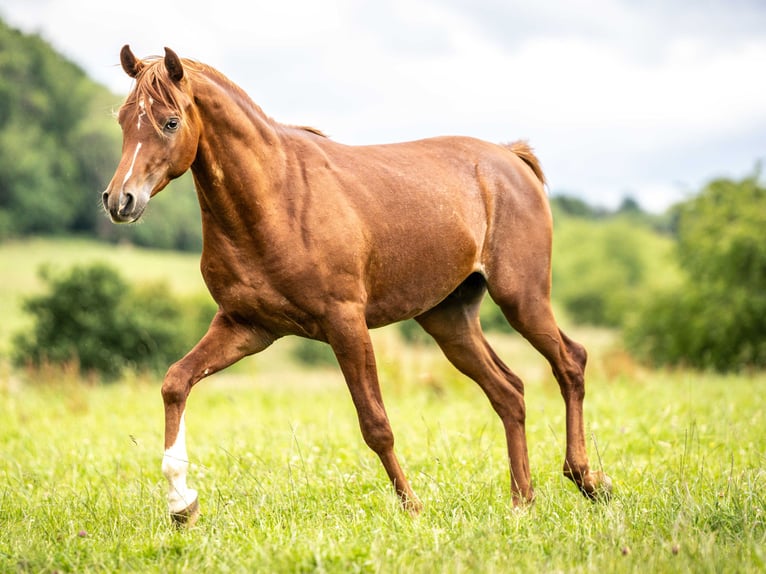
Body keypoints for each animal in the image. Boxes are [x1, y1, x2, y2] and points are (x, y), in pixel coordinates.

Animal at [105, 47, 616, 528]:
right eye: (124, 120)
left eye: (170, 121)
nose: (119, 200)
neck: (278, 197)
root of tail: (511, 158)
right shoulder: (245, 327)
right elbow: (176, 382)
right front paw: (182, 505)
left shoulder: (345, 323)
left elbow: (376, 425)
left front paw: (413, 508)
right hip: (450, 320)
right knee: (509, 391)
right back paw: (521, 503)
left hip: (522, 298)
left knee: (570, 362)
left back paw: (588, 480)